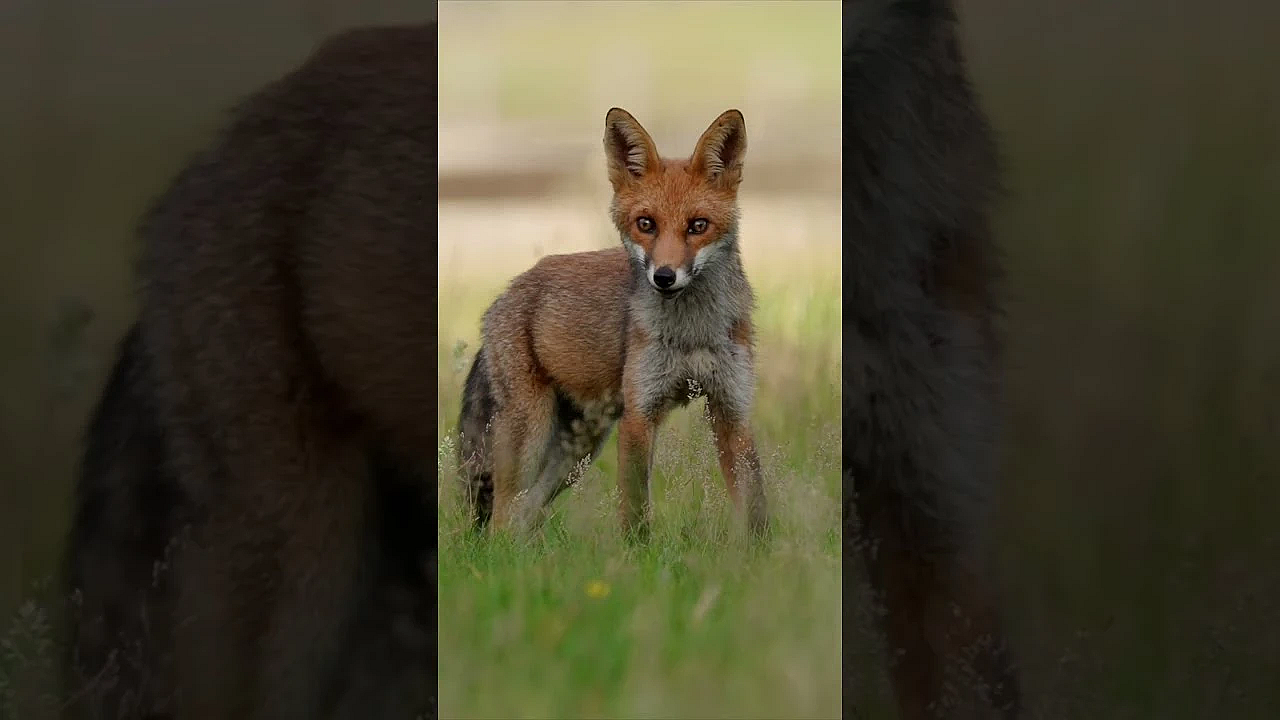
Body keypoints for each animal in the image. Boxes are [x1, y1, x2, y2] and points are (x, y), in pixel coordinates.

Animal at [457, 108, 767, 541]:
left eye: (698, 225)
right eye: (646, 223)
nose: (664, 277)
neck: (691, 333)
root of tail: (508, 291)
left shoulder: (731, 408)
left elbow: (755, 506)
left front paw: (762, 554)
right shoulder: (640, 413)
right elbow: (635, 512)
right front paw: (637, 557)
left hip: (577, 449)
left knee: (526, 513)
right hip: (532, 432)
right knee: (502, 517)